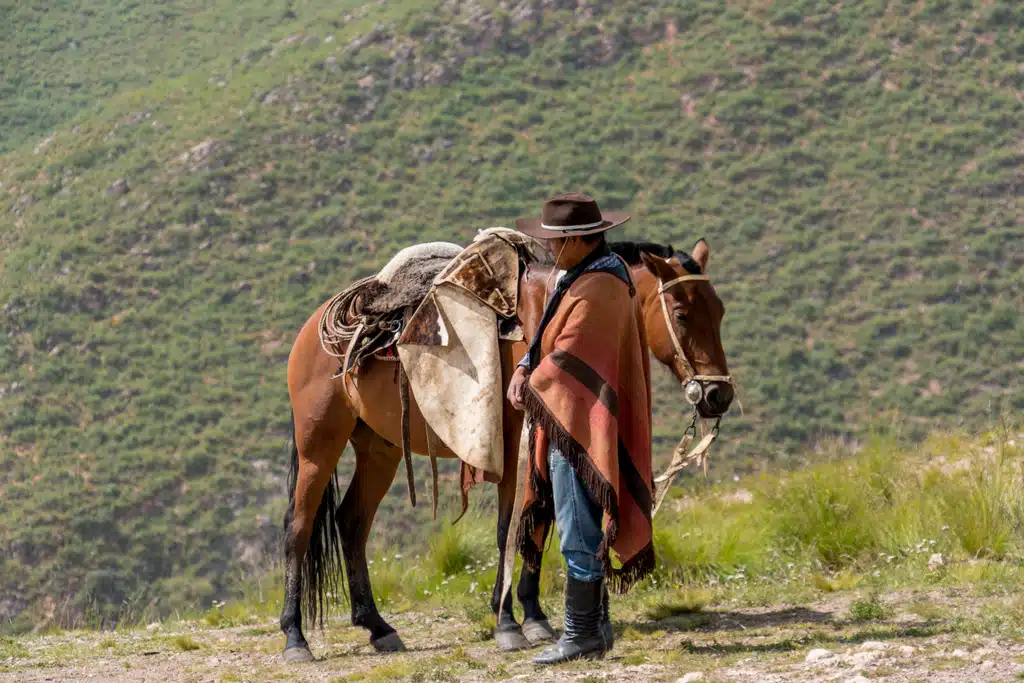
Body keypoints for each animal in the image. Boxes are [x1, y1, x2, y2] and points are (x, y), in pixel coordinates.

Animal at [278, 237, 729, 659]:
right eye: (682, 313)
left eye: (720, 311)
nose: (717, 395)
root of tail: (312, 328)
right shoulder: (512, 449)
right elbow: (507, 530)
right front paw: (507, 622)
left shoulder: (548, 439)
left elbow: (540, 522)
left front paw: (535, 617)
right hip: (319, 443)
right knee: (298, 527)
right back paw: (295, 637)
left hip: (380, 449)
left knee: (351, 522)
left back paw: (377, 626)